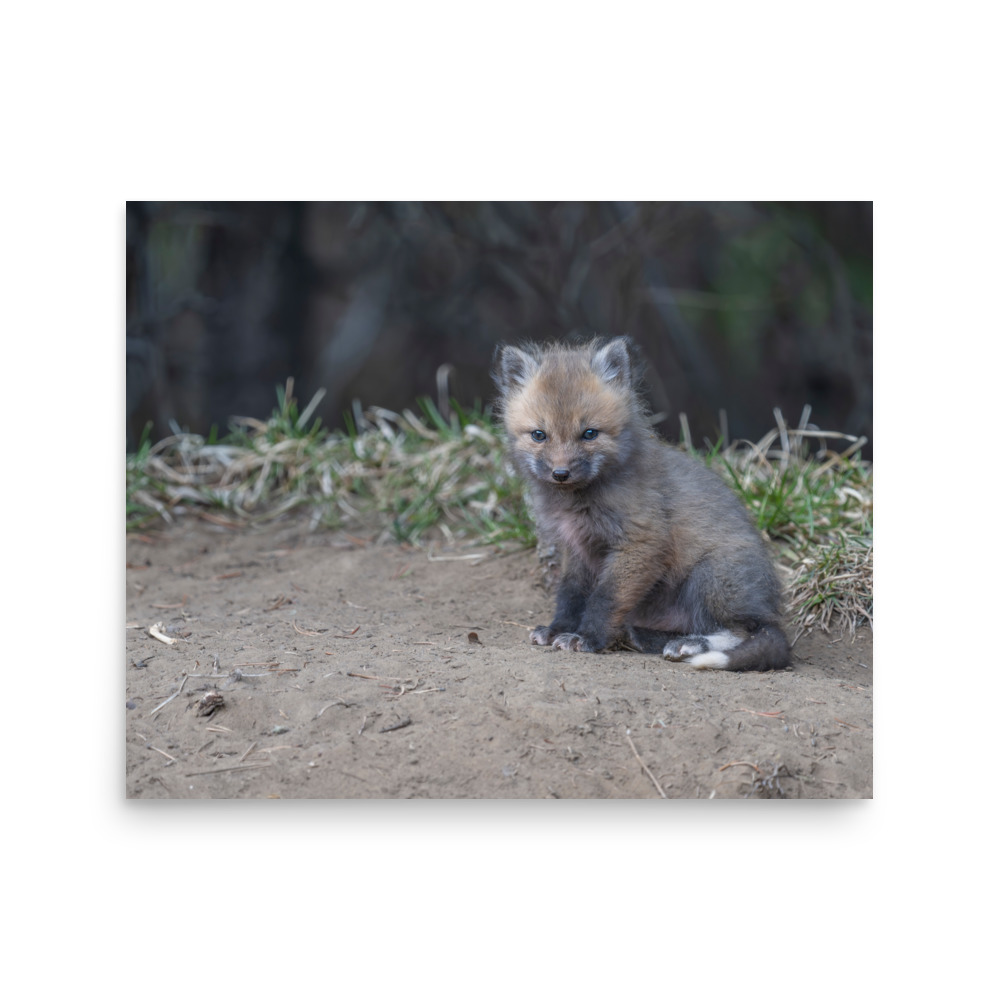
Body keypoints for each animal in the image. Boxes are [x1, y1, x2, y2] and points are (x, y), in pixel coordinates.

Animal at [493, 336, 790, 671]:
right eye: (539, 435)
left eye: (589, 434)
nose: (560, 473)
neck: (578, 502)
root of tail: (769, 607)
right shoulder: (577, 549)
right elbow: (570, 595)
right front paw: (559, 629)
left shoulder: (640, 542)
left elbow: (605, 599)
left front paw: (587, 638)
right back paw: (645, 637)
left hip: (710, 577)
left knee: (745, 631)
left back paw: (690, 644)